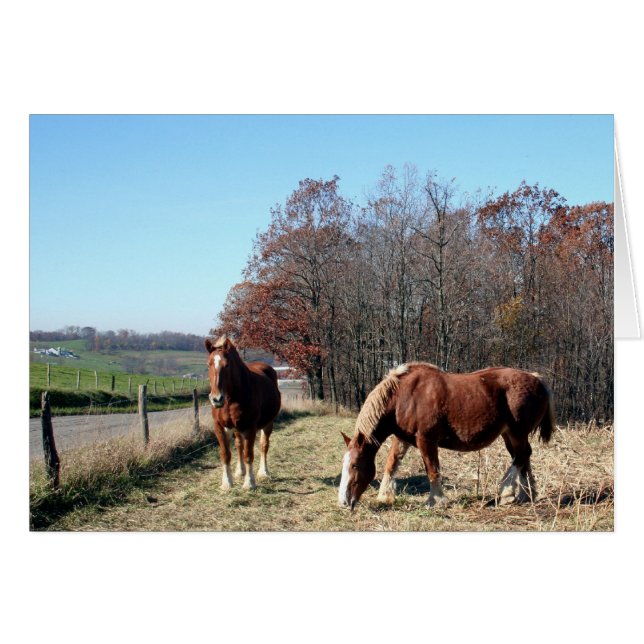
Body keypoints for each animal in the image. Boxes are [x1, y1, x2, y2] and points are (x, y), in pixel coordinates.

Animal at [205, 334, 281, 490]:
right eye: (209, 364)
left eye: (227, 365)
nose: (216, 399)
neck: (232, 398)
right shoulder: (220, 427)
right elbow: (226, 454)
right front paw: (227, 483)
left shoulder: (250, 428)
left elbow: (248, 455)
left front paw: (249, 483)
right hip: (237, 428)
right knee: (239, 445)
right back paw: (240, 471)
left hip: (268, 423)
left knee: (263, 445)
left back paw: (263, 472)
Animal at [338, 362, 555, 510]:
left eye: (355, 465)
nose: (343, 502)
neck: (405, 396)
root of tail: (537, 379)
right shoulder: (401, 439)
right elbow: (392, 464)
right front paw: (385, 496)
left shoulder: (426, 440)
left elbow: (432, 470)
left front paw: (436, 500)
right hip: (509, 435)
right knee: (523, 458)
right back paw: (526, 496)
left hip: (518, 433)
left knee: (520, 457)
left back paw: (506, 492)